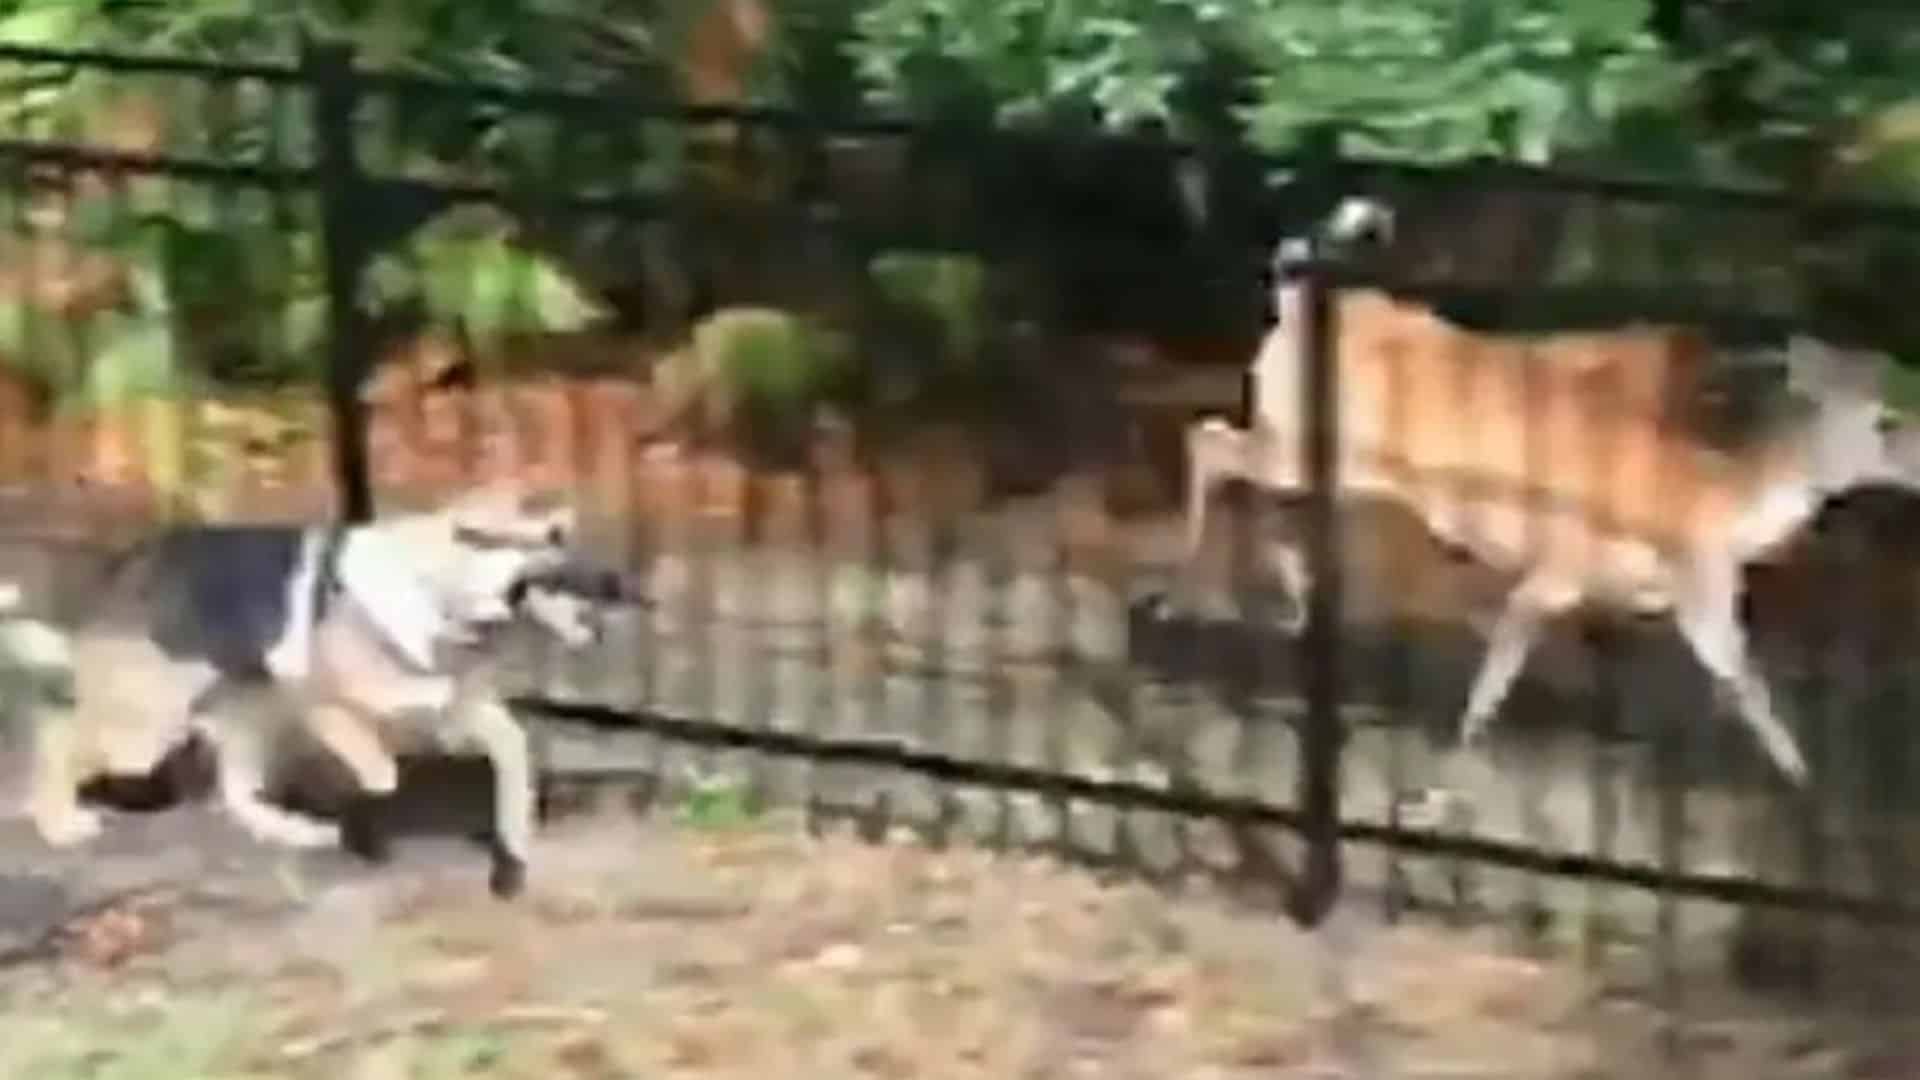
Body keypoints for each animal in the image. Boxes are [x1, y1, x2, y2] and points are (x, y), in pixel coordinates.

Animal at [11, 484, 625, 895]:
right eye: (553, 565)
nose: (607, 607)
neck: (439, 601)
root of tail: (125, 568)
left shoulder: (460, 711)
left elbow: (513, 758)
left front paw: (514, 847)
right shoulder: (325, 707)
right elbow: (383, 772)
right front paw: (371, 824)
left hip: (248, 713)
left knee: (237, 792)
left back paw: (296, 832)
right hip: (147, 730)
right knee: (56, 734)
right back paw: (59, 823)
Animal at [1152, 195, 1920, 780]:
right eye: (1885, 419)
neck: (1716, 500)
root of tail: (1296, 300)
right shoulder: (1578, 575)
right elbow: (1506, 675)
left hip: (1324, 459)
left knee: (1258, 489)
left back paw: (1291, 611)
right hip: (1305, 442)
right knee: (1207, 440)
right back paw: (1179, 597)